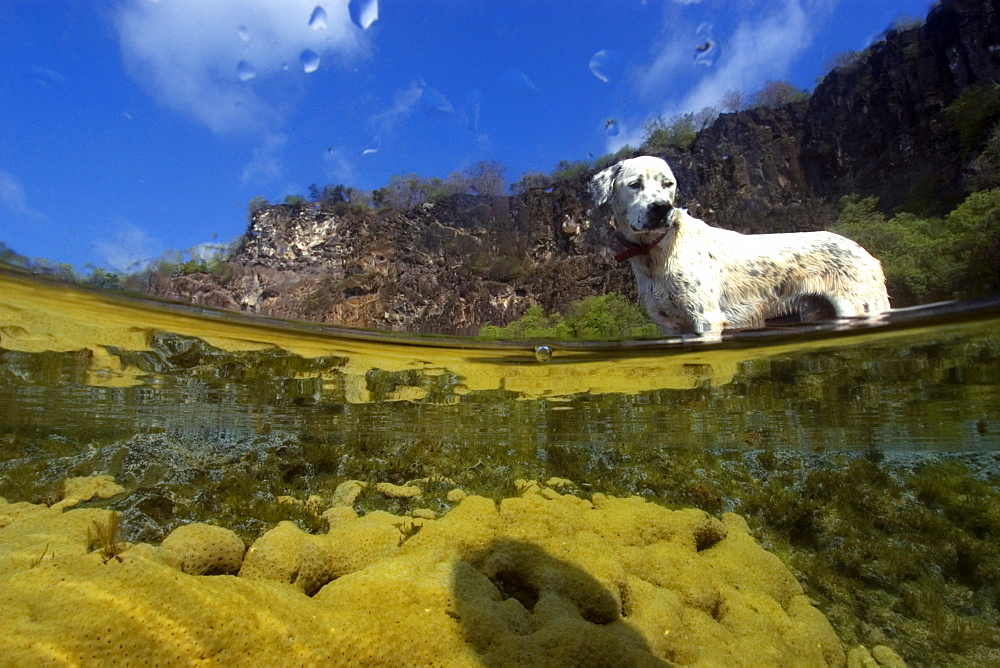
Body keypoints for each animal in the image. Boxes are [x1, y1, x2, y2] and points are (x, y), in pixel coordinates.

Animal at [588, 155, 888, 336]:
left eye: (668, 184)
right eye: (634, 184)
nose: (662, 208)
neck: (655, 251)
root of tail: (865, 253)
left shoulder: (706, 319)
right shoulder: (669, 327)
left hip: (862, 306)